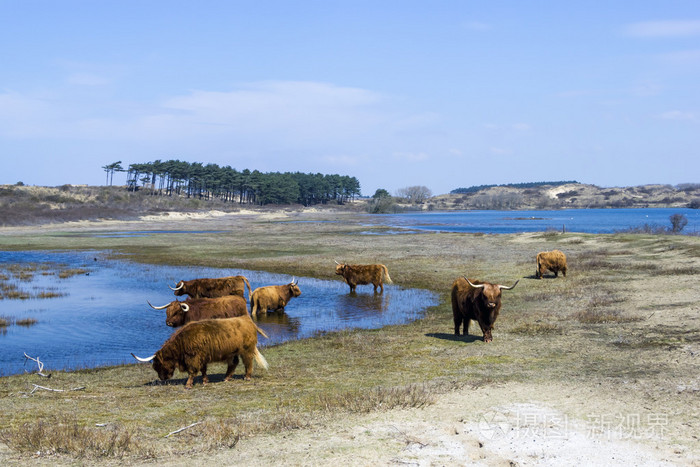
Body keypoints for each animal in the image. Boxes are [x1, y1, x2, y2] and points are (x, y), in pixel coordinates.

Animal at [133, 316, 270, 390]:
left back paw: (247, 377)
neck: (181, 343)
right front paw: (205, 381)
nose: (162, 378)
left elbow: (192, 371)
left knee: (248, 362)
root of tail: (247, 319)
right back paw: (226, 378)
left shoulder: (194, 358)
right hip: (232, 352)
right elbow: (203, 369)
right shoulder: (202, 357)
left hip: (246, 349)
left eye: (158, 365)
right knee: (234, 363)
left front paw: (188, 385)